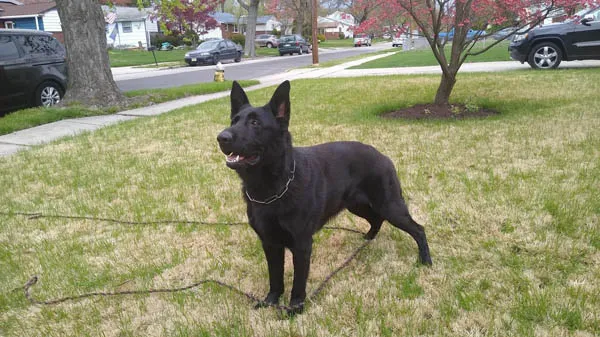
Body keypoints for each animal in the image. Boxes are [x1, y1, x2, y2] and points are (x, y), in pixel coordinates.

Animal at [216, 80, 432, 314]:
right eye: (234, 121)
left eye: (255, 123)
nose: (221, 138)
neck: (274, 188)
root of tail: (383, 156)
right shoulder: (270, 243)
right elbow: (275, 278)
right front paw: (271, 302)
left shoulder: (302, 244)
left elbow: (298, 283)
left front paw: (295, 308)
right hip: (358, 206)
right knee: (376, 219)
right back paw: (368, 239)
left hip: (390, 207)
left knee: (418, 229)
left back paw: (425, 260)